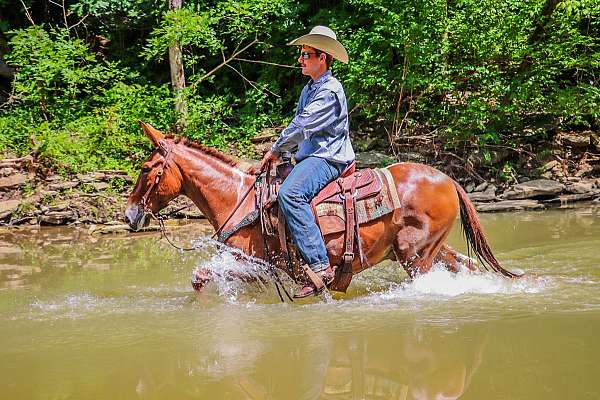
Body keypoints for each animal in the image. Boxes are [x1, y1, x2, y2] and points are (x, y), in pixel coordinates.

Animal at [124, 122, 516, 294]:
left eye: (145, 168)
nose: (129, 215)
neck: (238, 198)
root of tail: (448, 179)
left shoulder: (254, 263)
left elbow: (202, 276)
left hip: (414, 254)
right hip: (431, 249)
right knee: (466, 266)